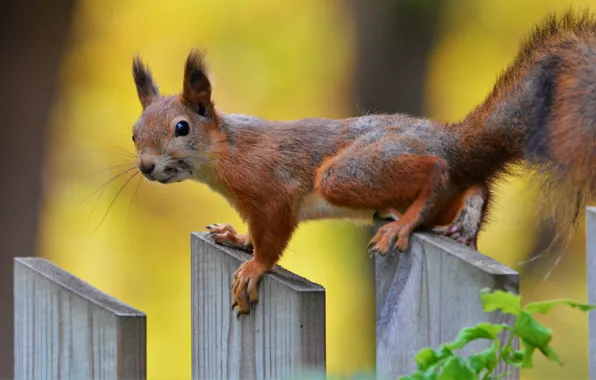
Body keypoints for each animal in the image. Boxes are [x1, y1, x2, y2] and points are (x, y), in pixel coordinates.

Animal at [133, 10, 596, 316]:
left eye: (181, 128)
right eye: (135, 133)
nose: (146, 167)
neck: (226, 152)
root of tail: (452, 139)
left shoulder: (272, 191)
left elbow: (272, 238)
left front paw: (254, 267)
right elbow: (253, 233)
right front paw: (234, 237)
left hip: (350, 171)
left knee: (435, 170)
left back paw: (404, 223)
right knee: (474, 185)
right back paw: (465, 221)